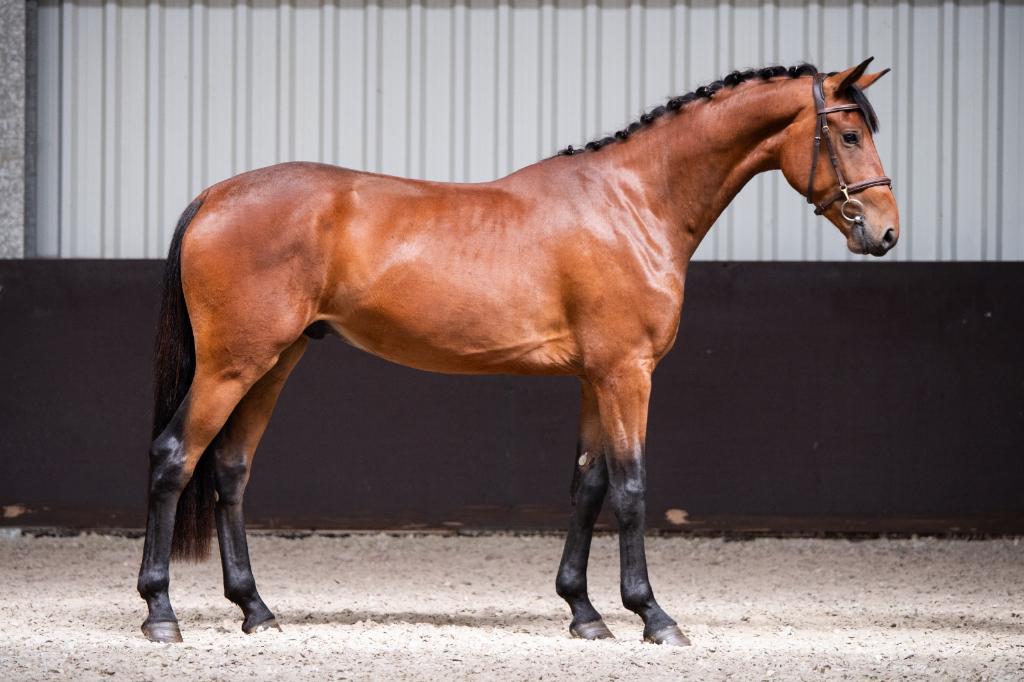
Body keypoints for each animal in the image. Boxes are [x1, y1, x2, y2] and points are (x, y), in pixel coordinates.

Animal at [137, 58, 898, 646]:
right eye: (850, 132)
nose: (885, 232)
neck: (633, 202)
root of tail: (215, 195)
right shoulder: (628, 374)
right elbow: (631, 487)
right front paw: (652, 615)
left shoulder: (596, 378)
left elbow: (588, 484)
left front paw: (585, 612)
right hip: (232, 366)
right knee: (176, 457)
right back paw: (161, 613)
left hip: (274, 362)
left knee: (230, 469)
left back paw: (255, 609)